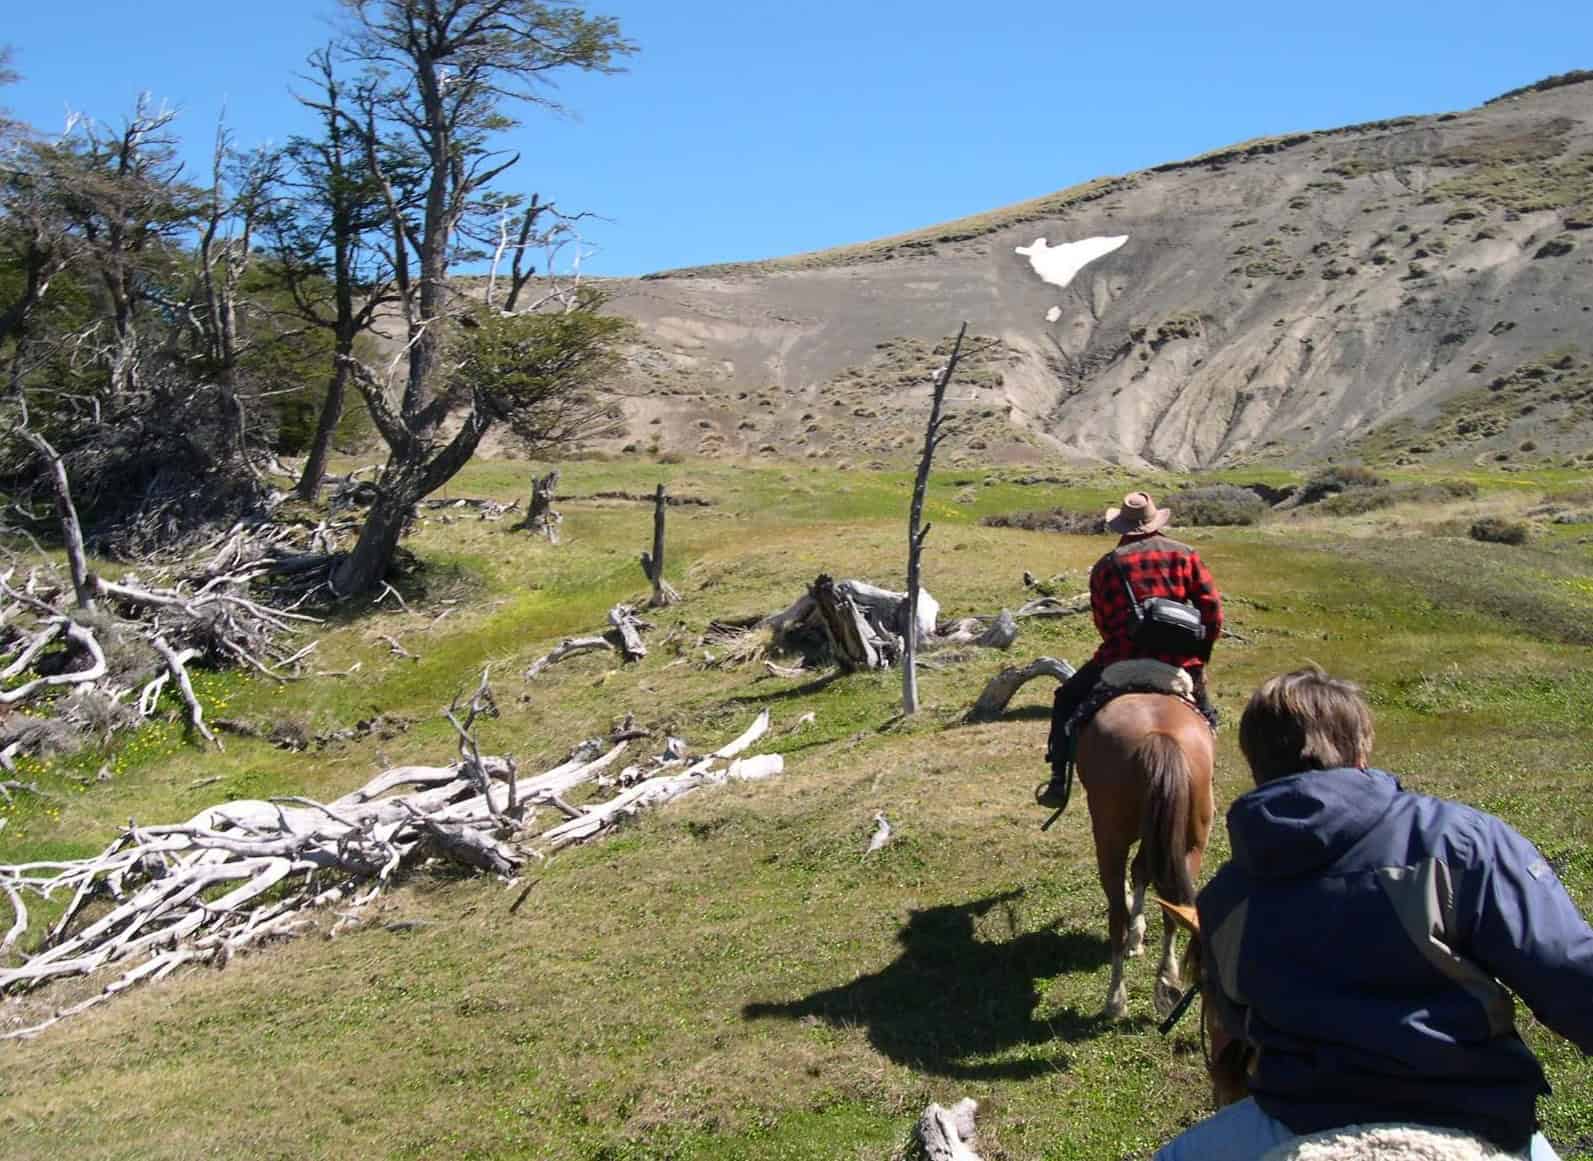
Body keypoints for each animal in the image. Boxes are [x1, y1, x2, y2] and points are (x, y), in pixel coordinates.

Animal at [1075, 689, 1215, 1019]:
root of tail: (1158, 737)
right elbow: (1142, 870)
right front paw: (1138, 935)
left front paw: (1135, 935)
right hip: (1191, 842)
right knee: (1174, 908)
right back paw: (1166, 982)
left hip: (1109, 840)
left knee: (1116, 914)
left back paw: (1115, 999)